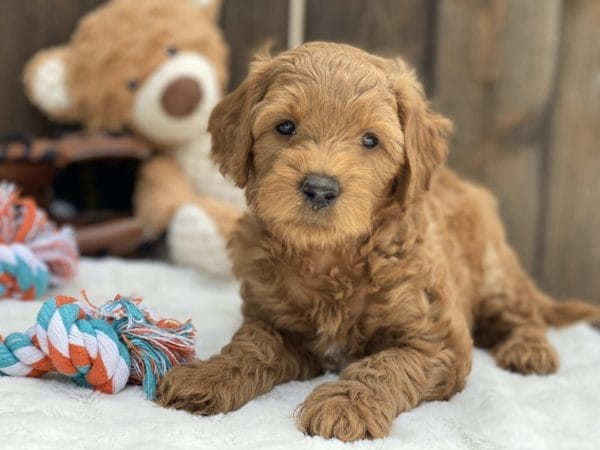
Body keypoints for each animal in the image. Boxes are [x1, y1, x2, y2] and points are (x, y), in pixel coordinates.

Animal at [155, 42, 600, 440]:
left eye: (370, 140)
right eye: (285, 126)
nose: (320, 188)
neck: (331, 255)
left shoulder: (436, 340)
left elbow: (387, 366)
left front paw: (345, 404)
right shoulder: (272, 320)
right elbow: (250, 347)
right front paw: (208, 374)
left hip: (494, 274)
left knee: (523, 314)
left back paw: (529, 350)